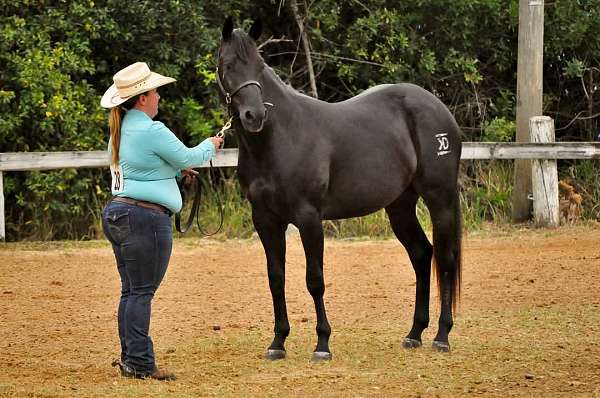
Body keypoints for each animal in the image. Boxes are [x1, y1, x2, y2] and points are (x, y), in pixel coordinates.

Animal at [218, 17, 462, 360]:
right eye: (228, 65)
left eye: (260, 66)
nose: (255, 115)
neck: (280, 138)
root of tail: (439, 109)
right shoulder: (265, 219)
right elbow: (276, 278)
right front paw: (278, 342)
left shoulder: (309, 217)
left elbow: (315, 280)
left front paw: (322, 344)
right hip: (400, 205)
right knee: (421, 254)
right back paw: (415, 333)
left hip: (440, 198)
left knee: (446, 259)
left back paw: (442, 336)